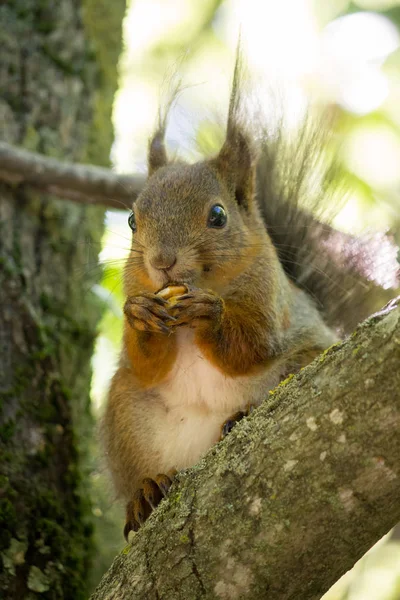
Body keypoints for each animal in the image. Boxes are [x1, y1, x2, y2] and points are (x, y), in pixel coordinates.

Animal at [101, 55, 398, 540]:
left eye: (218, 216)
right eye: (131, 220)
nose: (161, 261)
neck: (206, 282)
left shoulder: (269, 295)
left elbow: (253, 344)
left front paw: (211, 315)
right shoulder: (137, 290)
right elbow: (146, 363)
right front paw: (141, 315)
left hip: (301, 361)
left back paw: (239, 418)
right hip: (127, 414)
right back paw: (146, 492)